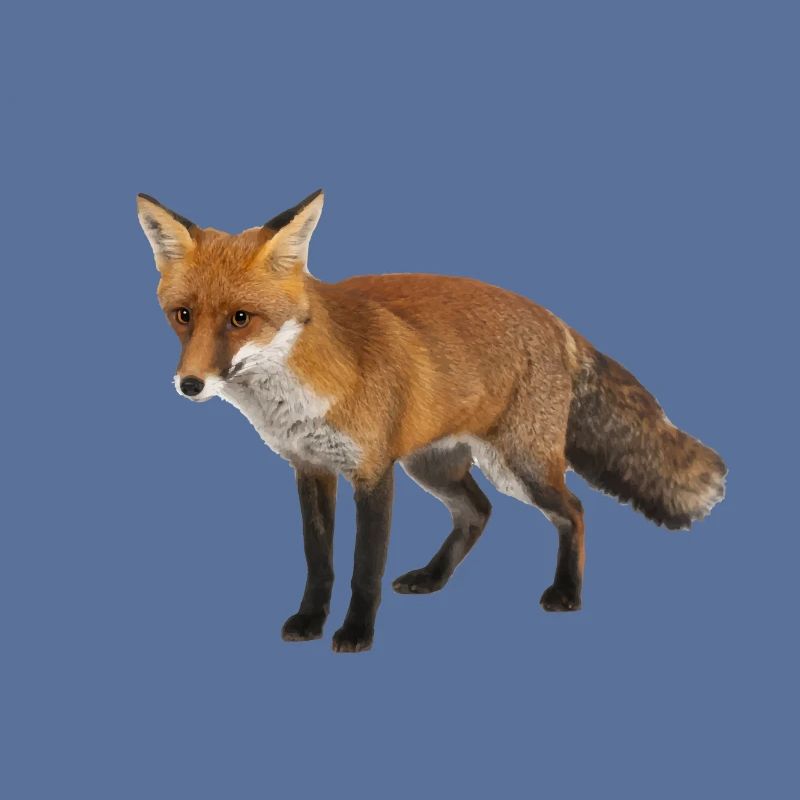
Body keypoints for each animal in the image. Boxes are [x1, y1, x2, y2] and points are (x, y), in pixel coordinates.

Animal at [137, 189, 726, 653]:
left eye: (241, 318)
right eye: (183, 315)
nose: (190, 384)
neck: (298, 393)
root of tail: (558, 322)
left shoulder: (373, 472)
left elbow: (364, 568)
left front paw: (356, 633)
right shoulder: (311, 469)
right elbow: (319, 563)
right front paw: (309, 620)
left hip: (521, 467)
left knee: (575, 512)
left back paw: (567, 593)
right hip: (435, 466)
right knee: (479, 513)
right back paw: (433, 577)